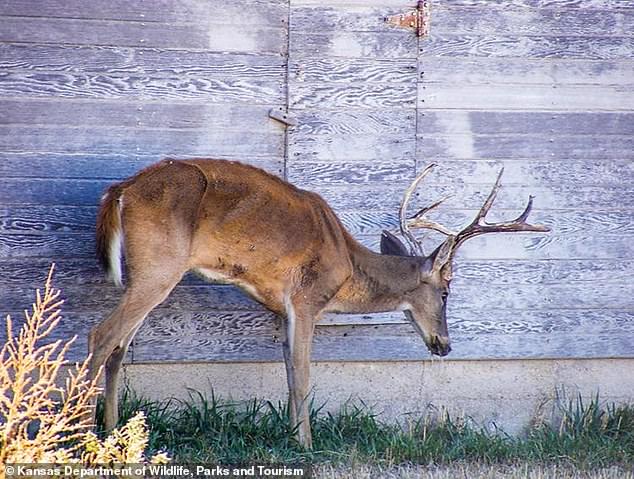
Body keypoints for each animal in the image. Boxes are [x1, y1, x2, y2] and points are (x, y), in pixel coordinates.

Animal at [90, 158, 548, 450]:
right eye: (448, 291)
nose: (445, 345)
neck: (346, 265)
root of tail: (120, 191)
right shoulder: (307, 299)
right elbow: (305, 375)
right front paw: (307, 445)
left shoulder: (281, 310)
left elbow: (290, 372)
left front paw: (292, 437)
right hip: (159, 265)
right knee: (101, 335)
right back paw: (84, 432)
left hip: (148, 272)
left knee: (119, 347)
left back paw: (115, 432)